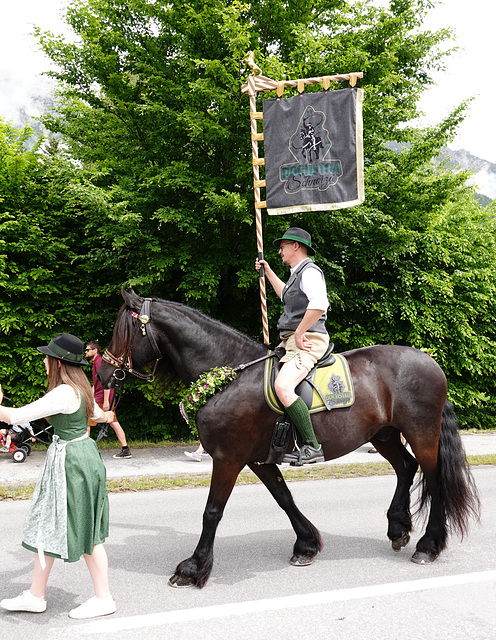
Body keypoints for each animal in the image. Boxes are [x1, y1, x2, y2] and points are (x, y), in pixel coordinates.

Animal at [97, 290, 480, 592]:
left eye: (121, 331)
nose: (102, 374)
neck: (228, 375)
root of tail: (430, 361)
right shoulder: (258, 459)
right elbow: (283, 498)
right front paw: (306, 545)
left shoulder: (228, 458)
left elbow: (212, 512)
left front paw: (193, 568)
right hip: (383, 435)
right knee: (406, 468)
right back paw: (398, 527)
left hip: (421, 433)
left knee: (434, 478)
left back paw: (428, 545)